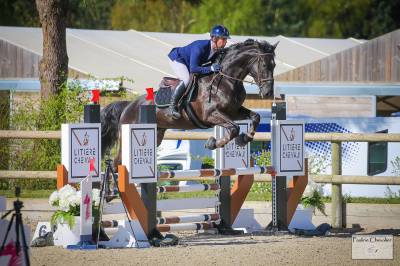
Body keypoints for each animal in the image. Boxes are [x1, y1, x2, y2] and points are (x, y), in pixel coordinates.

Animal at [101, 38, 278, 167]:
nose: (268, 93)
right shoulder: (211, 115)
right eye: (264, 65)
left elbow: (255, 117)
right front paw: (212, 143)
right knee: (117, 162)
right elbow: (234, 128)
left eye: (274, 65)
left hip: (157, 135)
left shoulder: (233, 111)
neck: (226, 79)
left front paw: (244, 139)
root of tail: (128, 106)